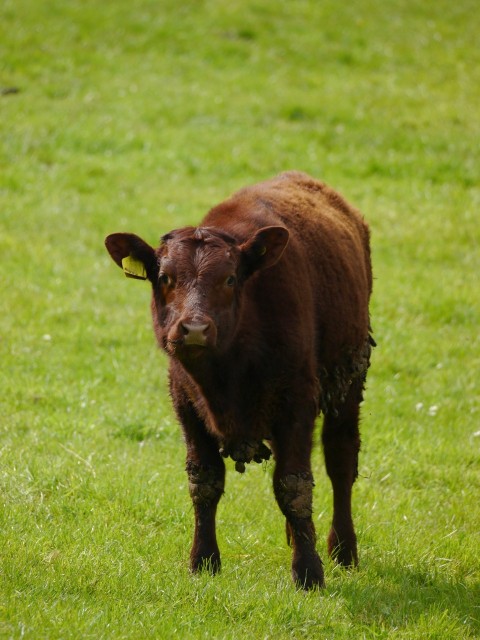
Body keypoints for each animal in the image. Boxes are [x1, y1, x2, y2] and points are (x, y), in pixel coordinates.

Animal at [106, 171, 376, 592]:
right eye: (164, 278)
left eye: (230, 278)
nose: (194, 329)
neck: (227, 373)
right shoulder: (186, 402)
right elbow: (204, 481)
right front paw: (203, 560)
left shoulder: (298, 400)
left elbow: (294, 484)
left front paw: (308, 571)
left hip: (349, 377)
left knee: (341, 460)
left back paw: (342, 549)